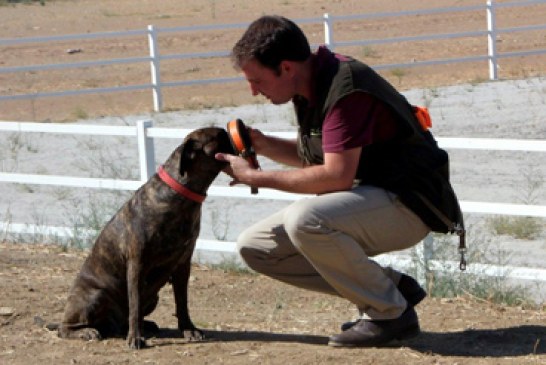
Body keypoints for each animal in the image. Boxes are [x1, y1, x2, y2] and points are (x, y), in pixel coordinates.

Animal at [47, 126, 231, 348]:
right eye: (220, 136)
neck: (179, 194)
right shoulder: (137, 264)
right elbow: (134, 304)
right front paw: (136, 337)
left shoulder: (182, 264)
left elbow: (182, 301)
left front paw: (189, 329)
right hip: (95, 296)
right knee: (64, 328)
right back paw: (88, 331)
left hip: (152, 298)